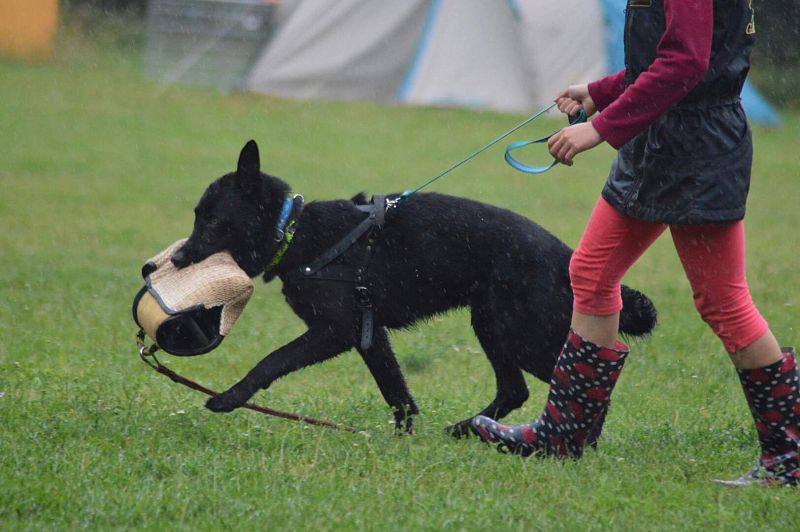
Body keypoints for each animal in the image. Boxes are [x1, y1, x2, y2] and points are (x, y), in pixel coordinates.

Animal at [170, 141, 656, 436]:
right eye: (196, 215)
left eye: (211, 219)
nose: (175, 260)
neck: (294, 231)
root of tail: (563, 255)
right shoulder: (369, 336)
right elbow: (397, 393)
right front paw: (404, 437)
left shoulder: (337, 332)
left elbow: (271, 360)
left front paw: (230, 398)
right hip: (492, 326)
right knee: (515, 389)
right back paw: (465, 430)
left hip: (521, 332)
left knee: (576, 380)